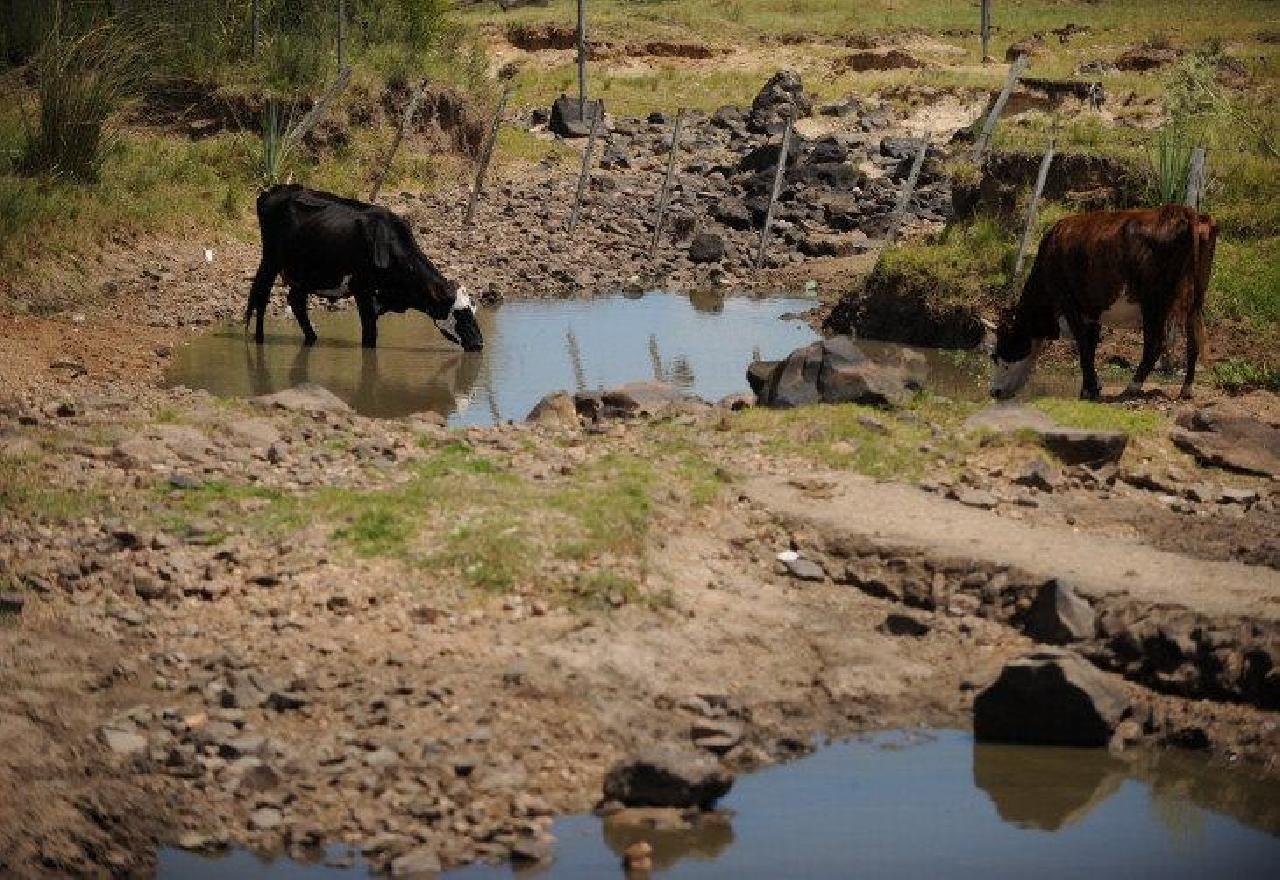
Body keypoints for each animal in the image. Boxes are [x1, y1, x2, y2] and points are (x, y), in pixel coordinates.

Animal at [241, 184, 481, 347]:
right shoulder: (363, 290)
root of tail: (272, 191)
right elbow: (369, 334)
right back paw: (259, 339)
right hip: (271, 260)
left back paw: (312, 338)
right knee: (261, 296)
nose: (479, 343)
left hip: (305, 273)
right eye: (460, 314)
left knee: (296, 301)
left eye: (473, 310)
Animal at [993, 204, 1213, 401]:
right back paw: (1186, 389)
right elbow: (1090, 345)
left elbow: (1082, 342)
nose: (994, 392)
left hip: (1153, 301)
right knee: (1193, 341)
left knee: (1155, 344)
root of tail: (1182, 211)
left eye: (1001, 357)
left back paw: (1132, 387)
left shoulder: (1068, 301)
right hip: (1195, 299)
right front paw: (1091, 387)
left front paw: (1090, 390)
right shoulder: (1092, 310)